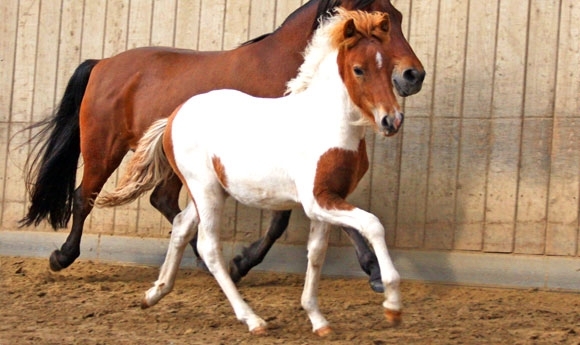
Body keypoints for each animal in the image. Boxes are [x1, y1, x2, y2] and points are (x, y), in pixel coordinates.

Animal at [20, 0, 424, 292]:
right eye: (384, 21)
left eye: (400, 16)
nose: (413, 75)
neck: (289, 76)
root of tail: (102, 63)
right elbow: (284, 220)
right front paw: (241, 263)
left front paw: (374, 272)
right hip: (103, 148)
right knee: (84, 196)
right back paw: (62, 256)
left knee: (164, 201)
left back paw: (202, 261)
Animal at [96, 8, 404, 336]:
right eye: (358, 69)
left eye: (388, 67)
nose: (392, 120)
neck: (326, 122)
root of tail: (174, 115)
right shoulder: (317, 201)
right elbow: (373, 225)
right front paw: (392, 306)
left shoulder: (328, 200)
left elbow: (316, 254)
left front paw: (318, 319)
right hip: (205, 191)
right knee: (208, 247)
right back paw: (252, 319)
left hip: (210, 192)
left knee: (180, 226)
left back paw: (154, 293)